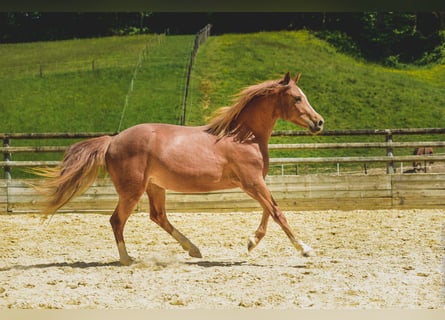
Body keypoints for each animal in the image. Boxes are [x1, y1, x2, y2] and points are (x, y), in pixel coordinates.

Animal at [36, 72, 322, 264]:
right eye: (297, 98)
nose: (319, 122)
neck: (244, 137)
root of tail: (111, 141)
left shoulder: (255, 183)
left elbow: (268, 211)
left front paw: (251, 243)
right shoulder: (252, 182)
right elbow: (277, 212)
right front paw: (305, 249)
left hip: (154, 186)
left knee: (158, 216)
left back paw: (193, 249)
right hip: (132, 190)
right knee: (117, 220)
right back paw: (128, 259)